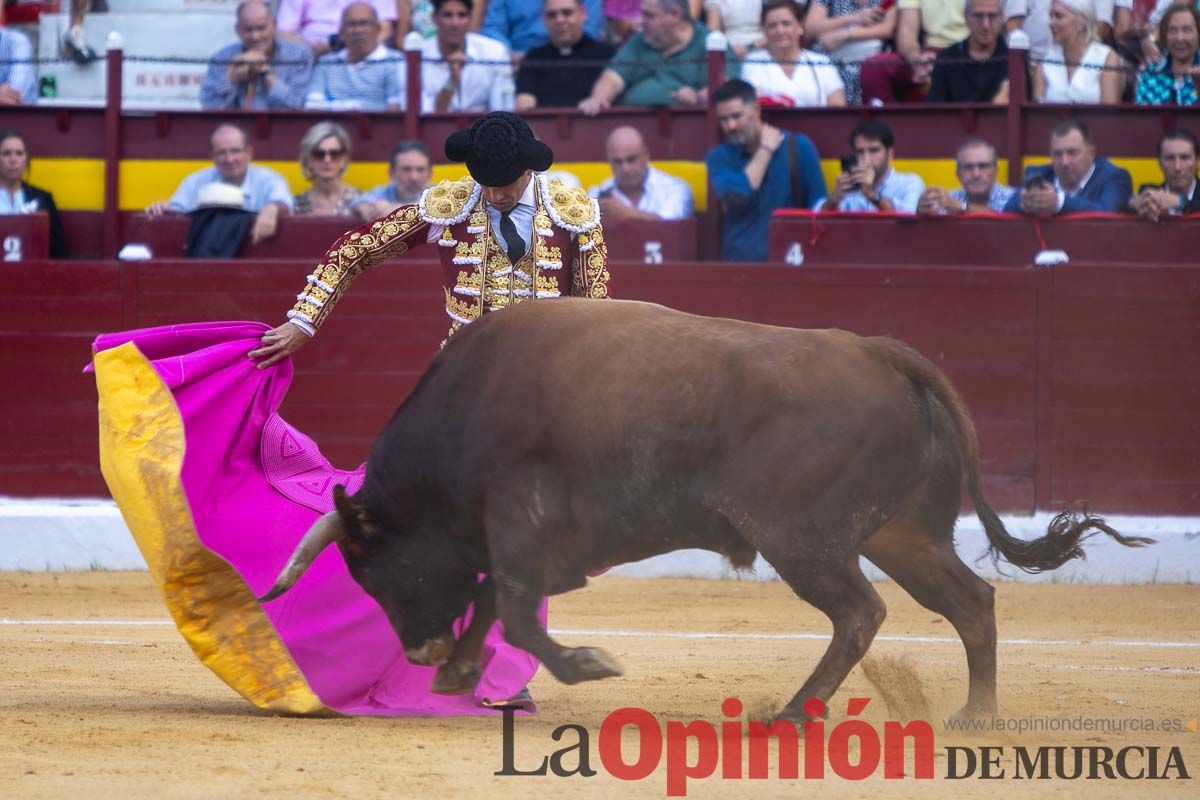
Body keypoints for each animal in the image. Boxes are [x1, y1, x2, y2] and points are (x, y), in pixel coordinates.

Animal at [260, 297, 1142, 724]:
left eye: (377, 569)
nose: (419, 649)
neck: (466, 409)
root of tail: (880, 351)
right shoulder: (514, 537)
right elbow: (493, 602)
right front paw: (460, 673)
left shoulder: (518, 520)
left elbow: (509, 605)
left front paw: (585, 664)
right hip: (906, 535)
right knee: (970, 601)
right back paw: (974, 714)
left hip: (805, 542)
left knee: (862, 612)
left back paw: (793, 715)